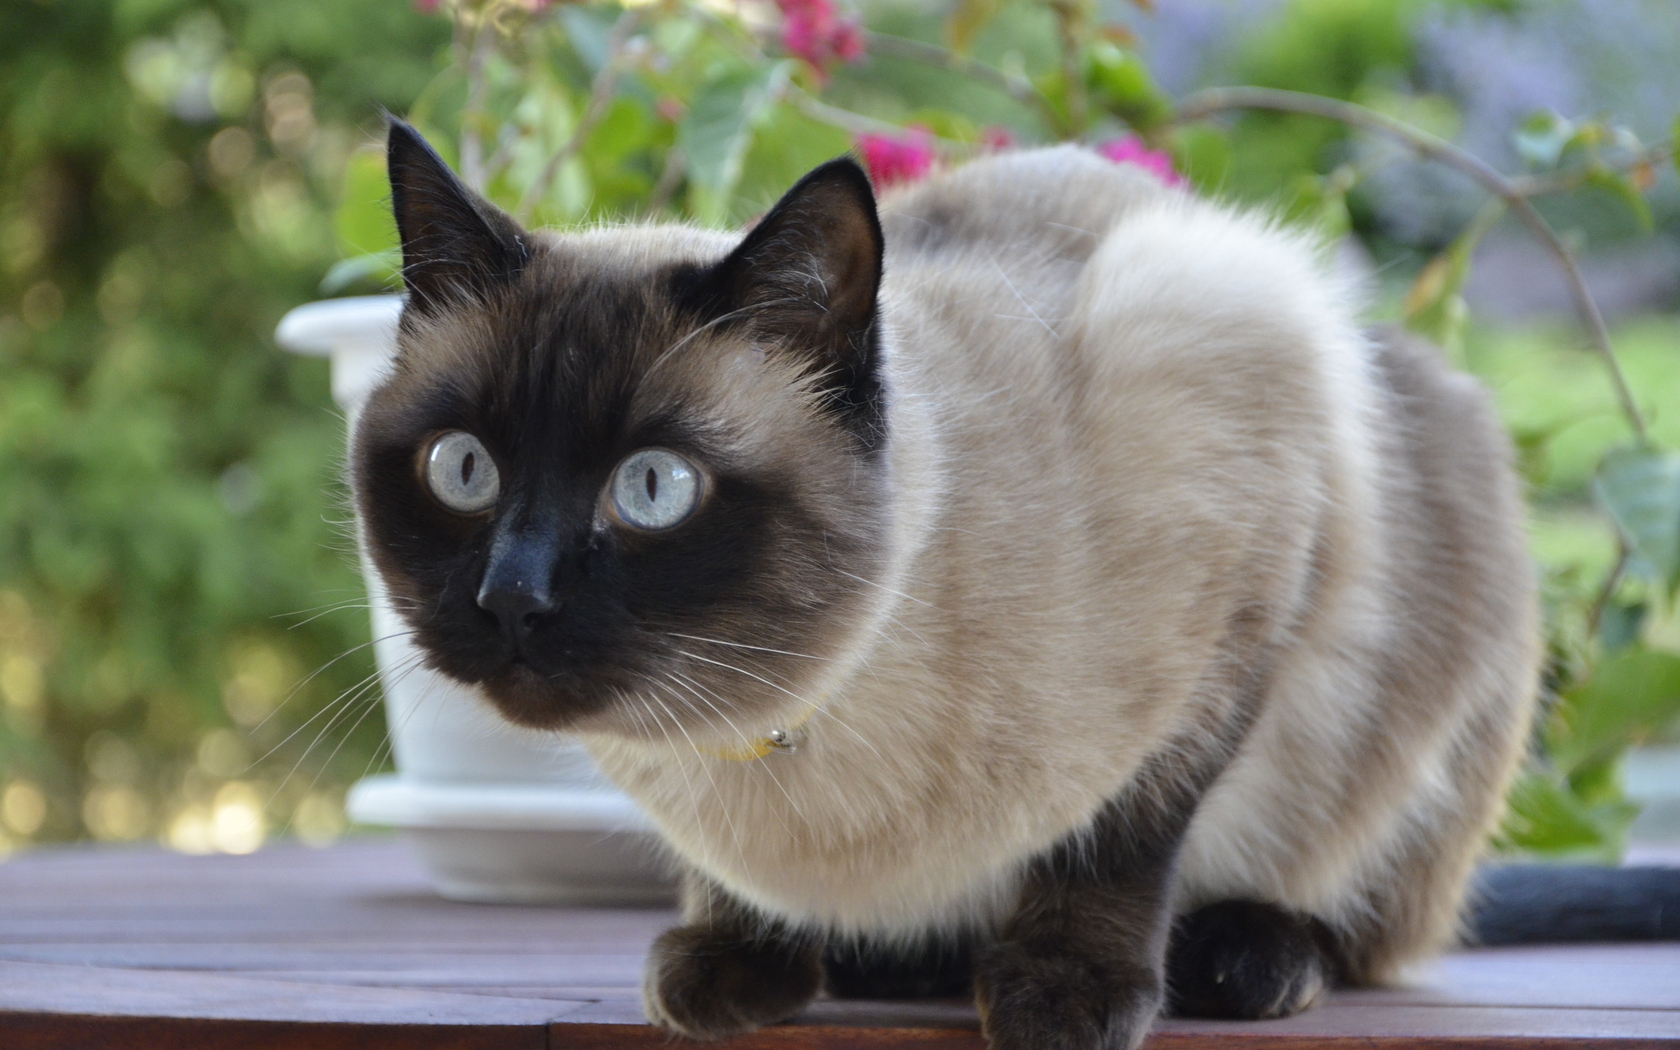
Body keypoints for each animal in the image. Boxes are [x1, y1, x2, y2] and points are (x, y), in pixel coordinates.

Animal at [347, 118, 1606, 1041]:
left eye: (652, 488)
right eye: (463, 469)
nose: (512, 599)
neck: (781, 732)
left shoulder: (1240, 581)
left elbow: (1122, 834)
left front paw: (1065, 993)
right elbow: (726, 889)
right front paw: (737, 963)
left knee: (1371, 922)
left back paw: (1244, 958)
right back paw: (892, 962)